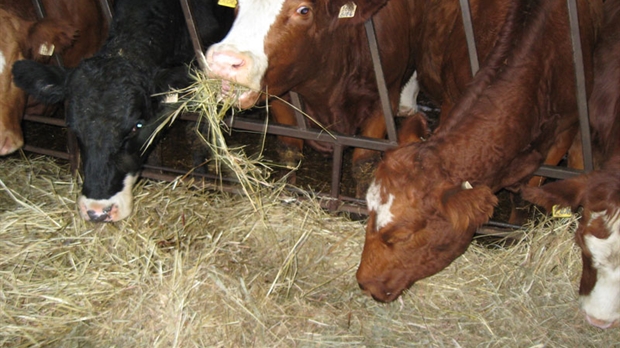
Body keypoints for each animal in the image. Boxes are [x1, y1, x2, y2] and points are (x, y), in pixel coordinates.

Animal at [356, 0, 604, 302]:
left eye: (403, 235)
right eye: (368, 211)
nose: (364, 282)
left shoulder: (565, 129)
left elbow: (527, 197)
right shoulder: (452, 96)